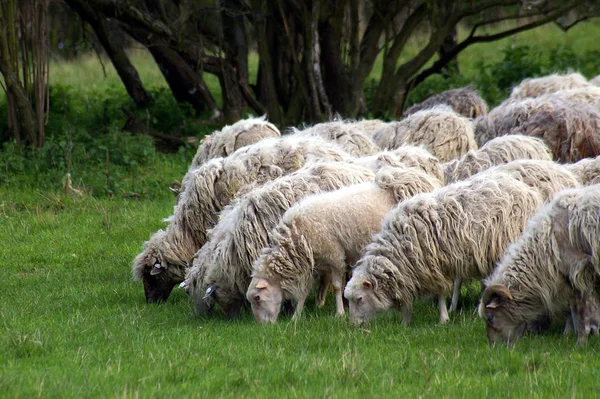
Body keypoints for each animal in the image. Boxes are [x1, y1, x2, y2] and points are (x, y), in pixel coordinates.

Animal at [246, 166, 442, 324]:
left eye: (257, 298)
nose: (263, 326)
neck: (298, 234)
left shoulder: (334, 256)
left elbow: (336, 286)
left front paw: (339, 313)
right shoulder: (316, 263)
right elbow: (305, 290)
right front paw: (296, 316)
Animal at [346, 163, 580, 328]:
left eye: (359, 299)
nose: (354, 326)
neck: (399, 245)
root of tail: (527, 191)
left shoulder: (432, 264)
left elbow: (439, 292)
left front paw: (443, 318)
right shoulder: (415, 268)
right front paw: (405, 321)